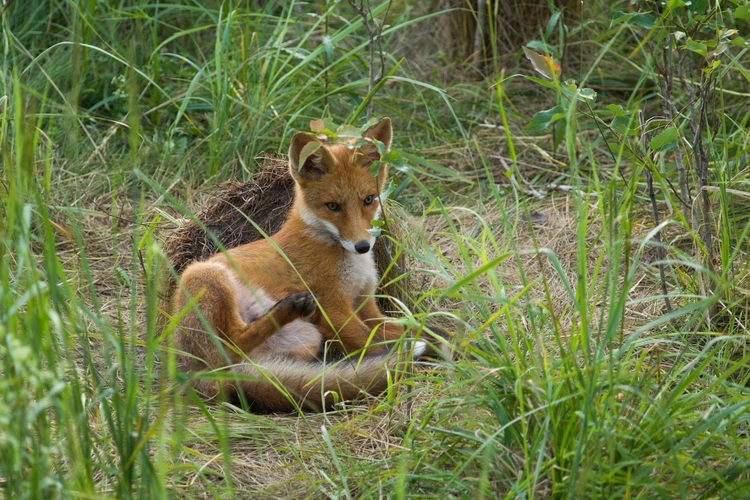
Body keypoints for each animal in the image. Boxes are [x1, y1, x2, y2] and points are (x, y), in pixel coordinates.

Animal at [173, 119, 438, 412]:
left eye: (368, 200)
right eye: (333, 206)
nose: (362, 246)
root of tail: (199, 374)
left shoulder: (365, 306)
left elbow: (422, 328)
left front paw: (451, 343)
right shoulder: (333, 310)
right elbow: (375, 344)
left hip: (306, 338)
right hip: (205, 275)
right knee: (232, 343)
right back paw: (290, 310)